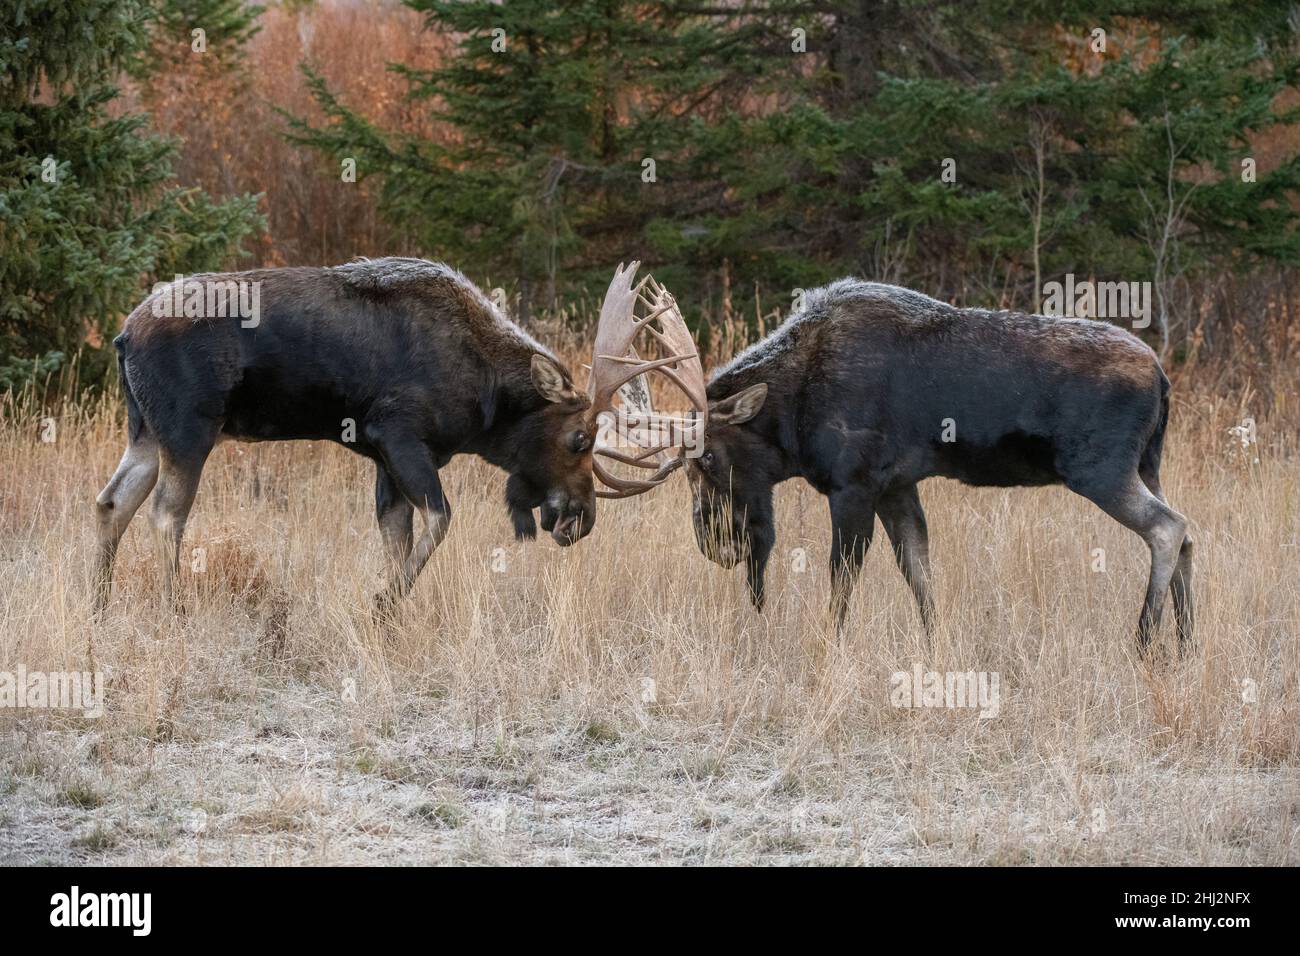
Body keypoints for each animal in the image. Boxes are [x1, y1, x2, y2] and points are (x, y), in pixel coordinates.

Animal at [665, 279, 1194, 654]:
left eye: (707, 457)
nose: (712, 542)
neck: (791, 416)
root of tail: (1162, 378)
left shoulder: (853, 485)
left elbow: (843, 578)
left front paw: (829, 647)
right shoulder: (897, 487)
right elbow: (918, 573)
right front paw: (936, 646)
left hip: (1101, 469)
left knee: (1169, 527)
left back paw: (1146, 643)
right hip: (1148, 466)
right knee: (1187, 535)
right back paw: (1187, 644)